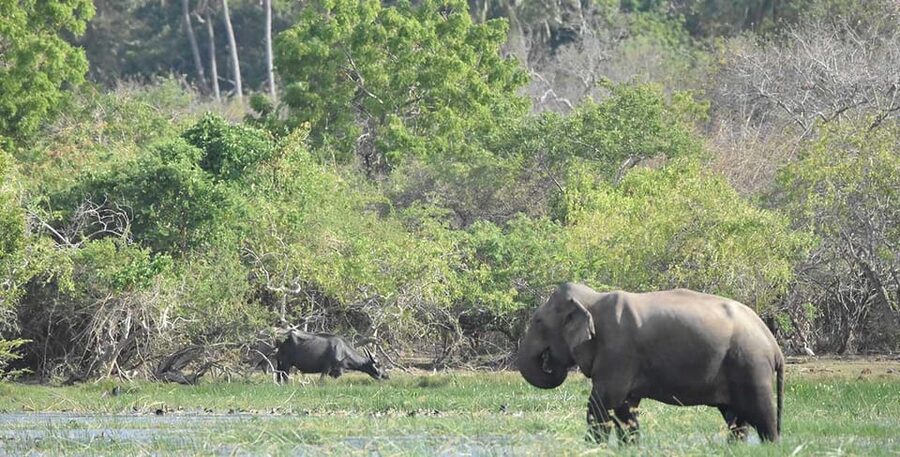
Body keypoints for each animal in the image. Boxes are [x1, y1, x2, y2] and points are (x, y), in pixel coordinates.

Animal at [518, 282, 784, 444]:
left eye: (538, 321)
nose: (548, 360)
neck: (593, 299)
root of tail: (774, 345)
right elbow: (625, 408)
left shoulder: (618, 351)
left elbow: (602, 402)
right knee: (736, 419)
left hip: (751, 365)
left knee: (762, 415)